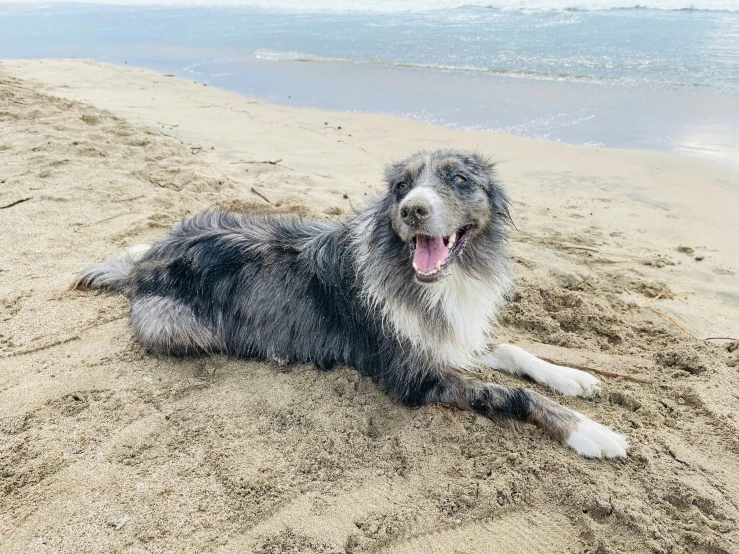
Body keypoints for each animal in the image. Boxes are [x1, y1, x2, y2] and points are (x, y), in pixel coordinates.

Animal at [73, 148, 632, 458]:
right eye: (402, 186)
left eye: (459, 179)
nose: (413, 209)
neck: (430, 280)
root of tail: (151, 261)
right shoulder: (413, 373)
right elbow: (511, 393)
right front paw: (590, 431)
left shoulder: (448, 330)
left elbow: (513, 350)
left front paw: (573, 378)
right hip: (177, 325)